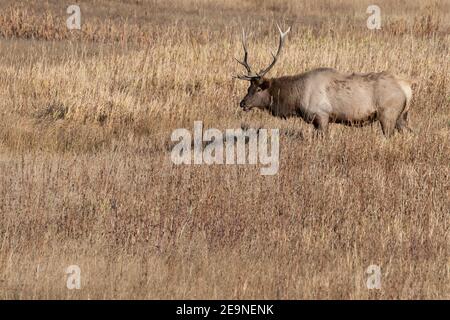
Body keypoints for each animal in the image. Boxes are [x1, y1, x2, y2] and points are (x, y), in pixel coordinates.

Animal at [234, 24, 414, 136]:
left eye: (258, 89)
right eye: (248, 88)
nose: (242, 103)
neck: (296, 100)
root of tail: (407, 88)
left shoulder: (321, 116)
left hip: (388, 114)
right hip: (401, 117)